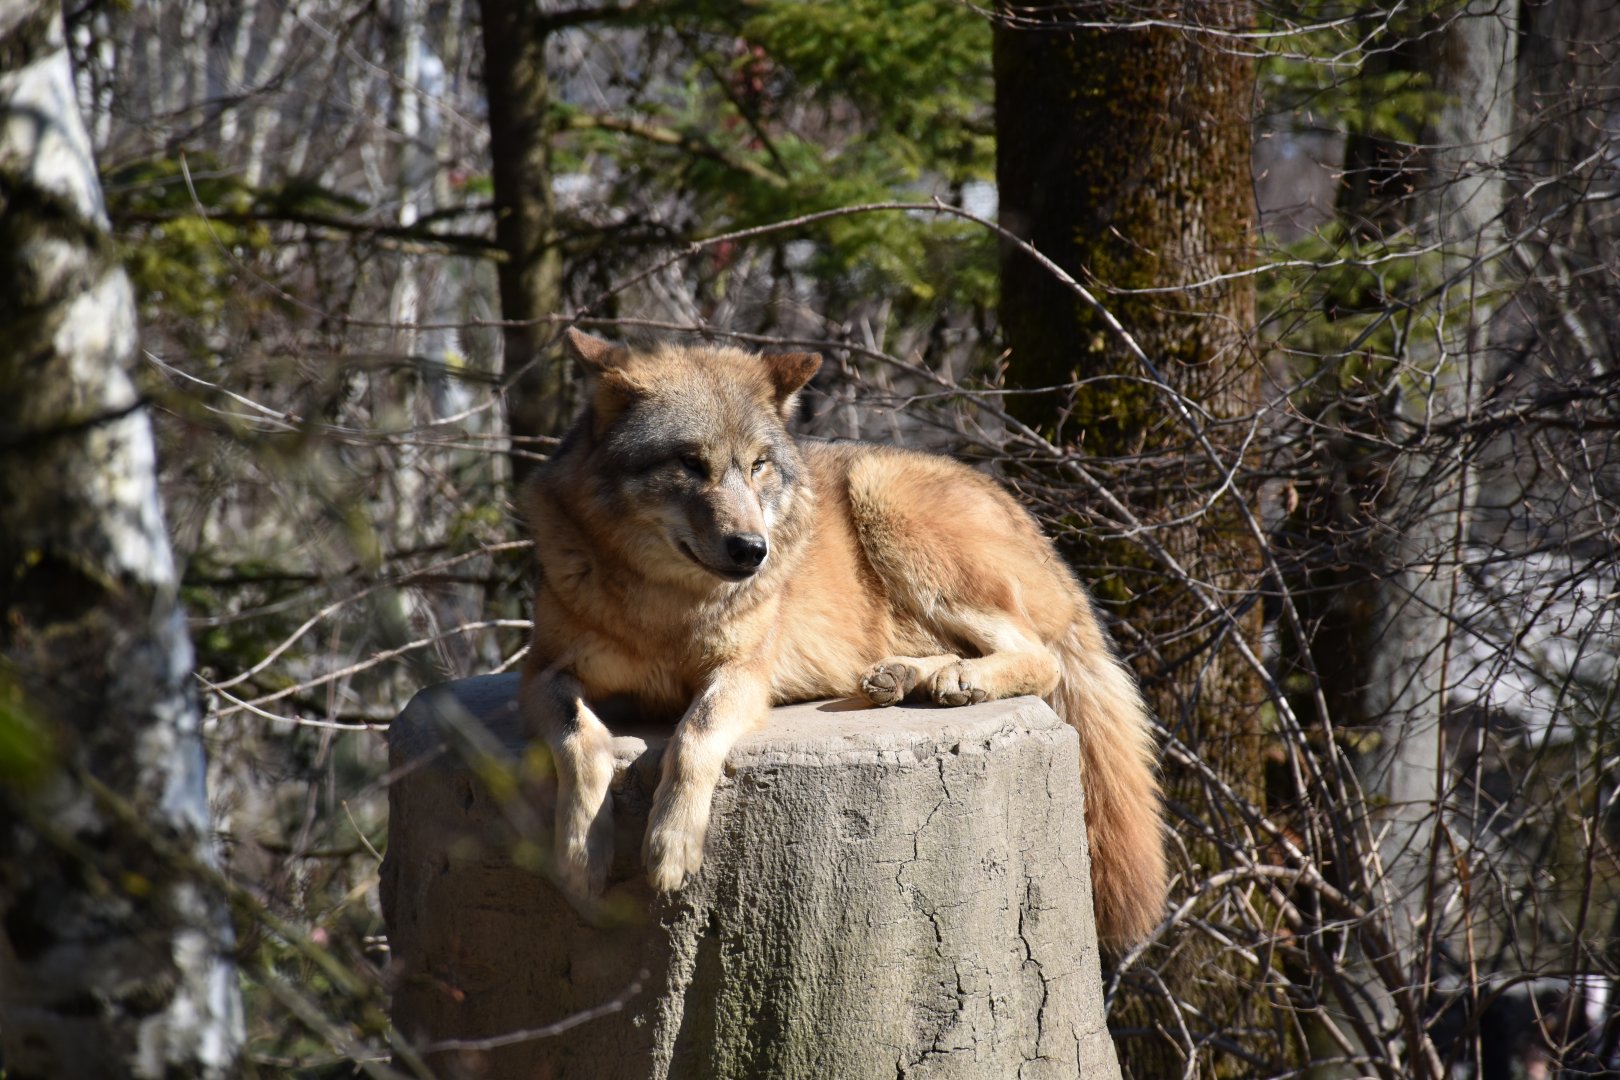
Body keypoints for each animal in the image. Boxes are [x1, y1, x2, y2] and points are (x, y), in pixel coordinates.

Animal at [518, 329, 1167, 947]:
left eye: (757, 465)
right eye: (690, 463)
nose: (753, 551)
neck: (666, 609)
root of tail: (1031, 521)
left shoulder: (744, 673)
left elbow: (694, 735)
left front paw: (672, 842)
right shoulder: (543, 672)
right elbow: (579, 741)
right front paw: (580, 852)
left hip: (888, 506)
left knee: (1041, 655)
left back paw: (960, 680)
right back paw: (905, 677)